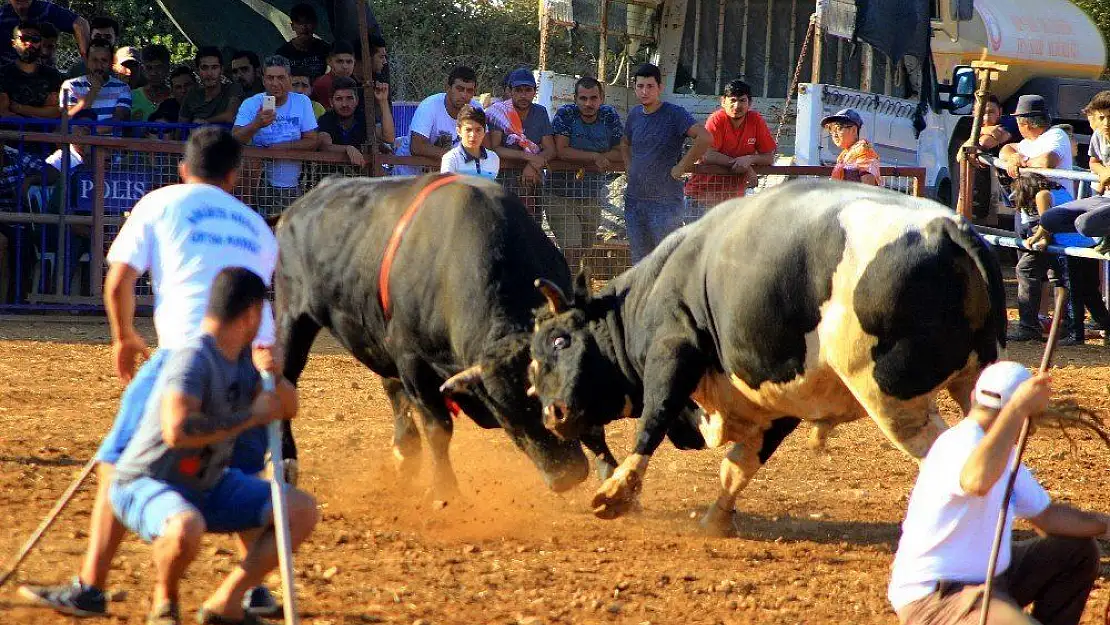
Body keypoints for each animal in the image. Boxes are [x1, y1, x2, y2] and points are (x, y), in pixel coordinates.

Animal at [271, 175, 697, 495]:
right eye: (505, 414)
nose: (565, 477)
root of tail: (296, 208)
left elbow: (589, 423)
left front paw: (612, 478)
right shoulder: (413, 362)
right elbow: (438, 428)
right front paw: (445, 491)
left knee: (390, 389)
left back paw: (404, 454)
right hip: (292, 316)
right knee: (285, 380)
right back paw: (288, 463)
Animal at [526, 179, 1007, 532]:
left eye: (559, 341)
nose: (553, 414)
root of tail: (947, 228)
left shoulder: (674, 350)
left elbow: (653, 419)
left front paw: (617, 492)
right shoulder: (781, 398)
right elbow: (740, 464)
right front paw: (716, 519)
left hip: (892, 397)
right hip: (976, 381)